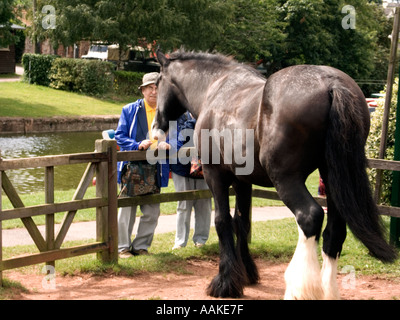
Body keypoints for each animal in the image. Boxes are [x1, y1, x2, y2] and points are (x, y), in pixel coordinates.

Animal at [151, 50, 396, 300]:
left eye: (158, 82)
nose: (156, 125)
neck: (215, 87)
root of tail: (331, 83)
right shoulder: (242, 181)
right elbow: (241, 221)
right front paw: (246, 273)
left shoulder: (215, 175)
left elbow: (222, 221)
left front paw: (225, 282)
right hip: (332, 179)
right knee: (334, 231)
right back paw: (328, 291)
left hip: (287, 180)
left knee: (310, 216)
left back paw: (300, 289)